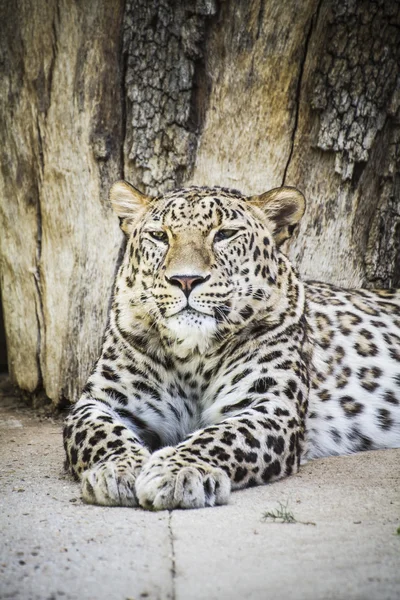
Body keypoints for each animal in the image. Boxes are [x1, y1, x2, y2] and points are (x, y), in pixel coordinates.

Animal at [62, 180, 400, 508]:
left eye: (224, 234)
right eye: (159, 236)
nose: (185, 280)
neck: (193, 355)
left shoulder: (270, 405)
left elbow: (222, 436)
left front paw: (179, 472)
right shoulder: (101, 402)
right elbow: (99, 433)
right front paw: (118, 469)